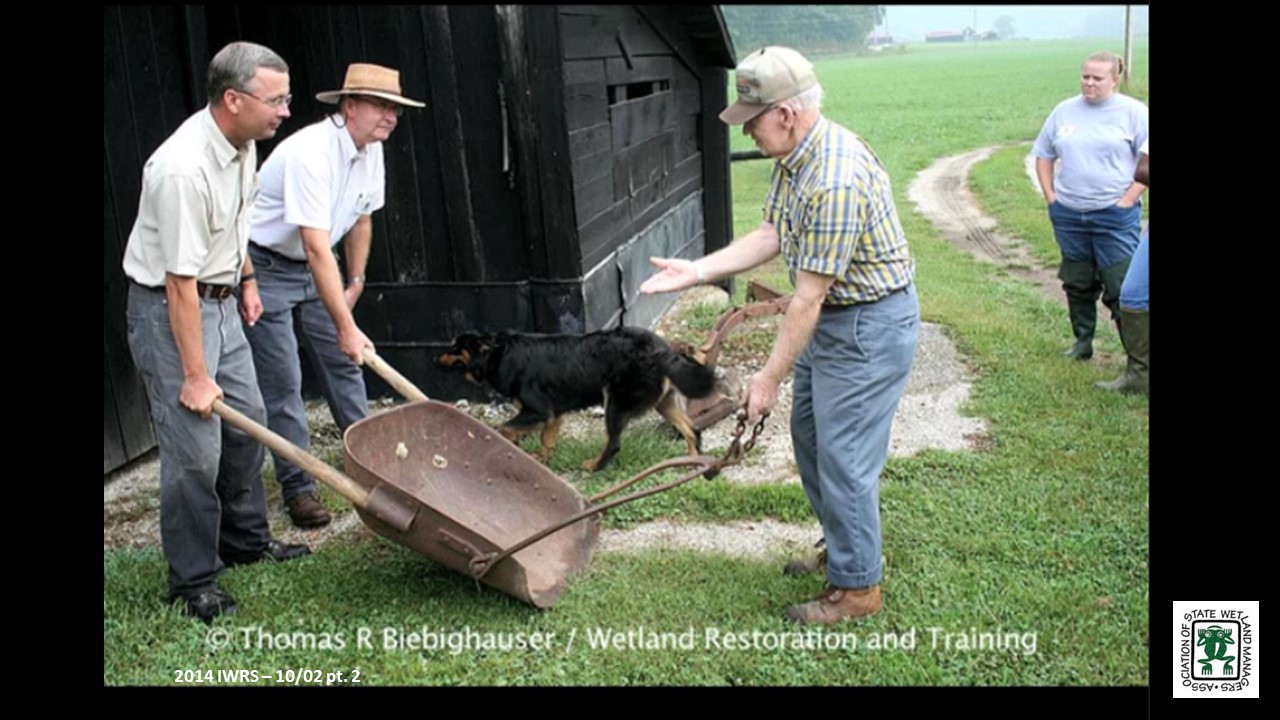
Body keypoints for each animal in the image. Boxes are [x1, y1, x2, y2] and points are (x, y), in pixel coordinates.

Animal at [437, 326, 721, 471]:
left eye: (454, 347)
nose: (435, 359)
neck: (498, 354)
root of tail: (659, 348)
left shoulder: (538, 410)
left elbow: (505, 427)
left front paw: (512, 444)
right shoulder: (553, 413)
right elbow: (546, 439)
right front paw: (540, 460)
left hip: (614, 401)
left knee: (614, 443)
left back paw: (594, 466)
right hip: (663, 402)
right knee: (692, 430)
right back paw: (692, 462)